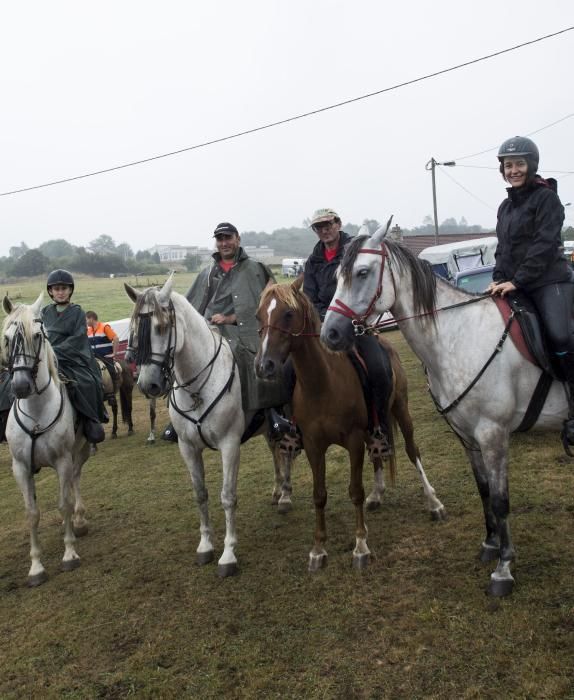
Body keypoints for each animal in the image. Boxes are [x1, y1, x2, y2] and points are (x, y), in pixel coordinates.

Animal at [1, 294, 89, 584]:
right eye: (7, 338)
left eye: (38, 335)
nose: (21, 386)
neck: (37, 413)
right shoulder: (20, 467)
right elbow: (31, 514)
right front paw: (36, 567)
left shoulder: (62, 460)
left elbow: (63, 504)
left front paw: (69, 554)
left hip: (81, 450)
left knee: (75, 479)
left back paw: (79, 521)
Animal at [126, 276, 296, 576]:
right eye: (134, 329)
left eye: (162, 327)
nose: (149, 385)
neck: (197, 385)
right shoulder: (187, 448)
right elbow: (200, 494)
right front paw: (205, 545)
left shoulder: (229, 445)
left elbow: (227, 496)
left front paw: (228, 554)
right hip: (267, 427)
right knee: (276, 452)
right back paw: (278, 492)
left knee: (286, 453)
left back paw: (286, 496)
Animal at [254, 276, 448, 572]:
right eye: (259, 315)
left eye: (288, 314)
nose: (264, 366)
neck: (322, 384)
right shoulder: (313, 445)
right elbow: (319, 494)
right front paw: (318, 549)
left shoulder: (354, 440)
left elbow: (355, 491)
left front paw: (360, 546)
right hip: (375, 426)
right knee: (378, 454)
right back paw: (378, 495)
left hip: (400, 410)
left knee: (412, 451)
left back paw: (433, 502)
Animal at [324, 230, 572, 596]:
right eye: (337, 277)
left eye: (363, 272)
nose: (330, 333)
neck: (460, 337)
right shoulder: (468, 438)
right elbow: (484, 491)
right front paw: (490, 545)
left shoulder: (493, 435)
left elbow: (501, 500)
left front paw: (504, 568)